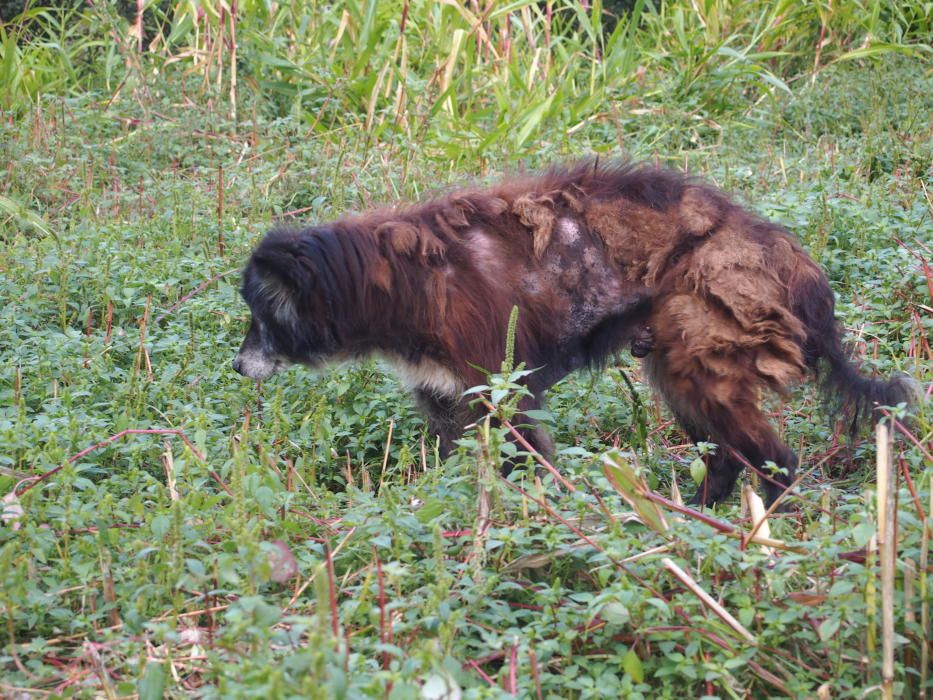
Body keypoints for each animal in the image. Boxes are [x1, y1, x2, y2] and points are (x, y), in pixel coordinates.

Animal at [233, 162, 912, 506]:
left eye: (260, 314)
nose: (237, 369)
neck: (401, 280)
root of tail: (782, 249)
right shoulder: (446, 400)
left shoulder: (504, 393)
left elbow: (526, 469)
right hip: (681, 374)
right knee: (725, 457)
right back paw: (698, 515)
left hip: (705, 366)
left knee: (777, 462)